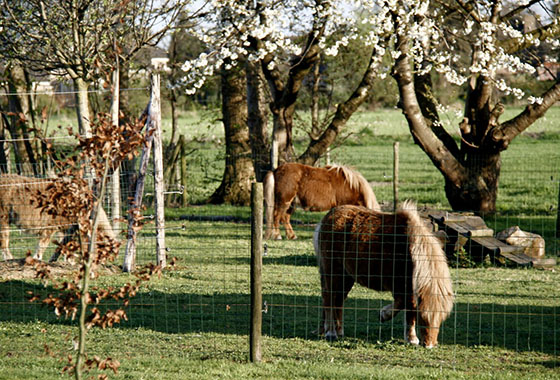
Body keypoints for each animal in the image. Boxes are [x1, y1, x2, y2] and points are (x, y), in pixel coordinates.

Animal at [312, 200, 452, 348]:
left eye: (442, 318)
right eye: (423, 317)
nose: (429, 344)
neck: (413, 252)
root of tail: (326, 218)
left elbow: (407, 306)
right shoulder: (402, 286)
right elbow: (407, 306)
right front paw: (405, 332)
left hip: (346, 277)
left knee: (338, 300)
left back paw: (338, 331)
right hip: (333, 272)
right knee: (329, 298)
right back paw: (330, 332)